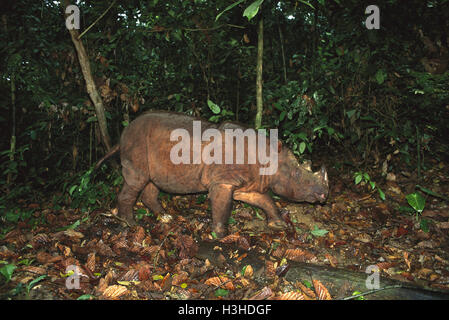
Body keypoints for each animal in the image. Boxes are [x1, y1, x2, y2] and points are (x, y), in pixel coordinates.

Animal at [96, 111, 328, 236]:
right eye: (297, 175)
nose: (324, 195)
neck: (269, 155)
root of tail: (123, 133)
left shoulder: (245, 184)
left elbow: (264, 200)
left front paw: (278, 224)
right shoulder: (223, 180)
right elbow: (222, 206)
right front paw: (221, 235)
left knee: (152, 183)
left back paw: (165, 218)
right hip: (137, 143)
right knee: (137, 180)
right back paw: (131, 223)